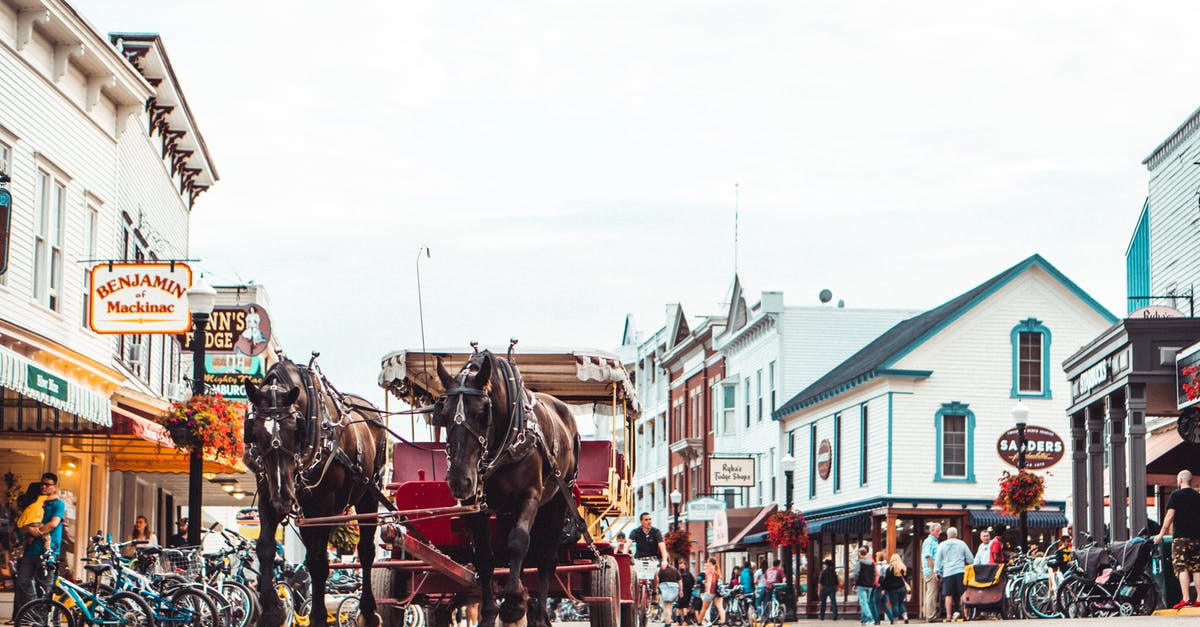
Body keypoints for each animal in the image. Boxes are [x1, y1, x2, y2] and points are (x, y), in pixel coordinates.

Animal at [244, 355, 388, 624]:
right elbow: (265, 548)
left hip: (367, 495)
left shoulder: (323, 504)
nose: (284, 498)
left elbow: (319, 563)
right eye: (254, 432)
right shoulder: (268, 494)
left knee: (365, 551)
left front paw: (319, 615)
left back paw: (368, 611)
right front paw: (272, 611)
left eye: (295, 429)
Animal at [434, 348, 583, 624]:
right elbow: (485, 556)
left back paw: (538, 613)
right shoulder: (476, 506)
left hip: (558, 500)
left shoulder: (530, 496)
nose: (460, 480)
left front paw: (513, 604)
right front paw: (492, 611)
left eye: (482, 413)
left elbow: (519, 542)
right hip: (506, 510)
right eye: (444, 414)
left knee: (545, 557)